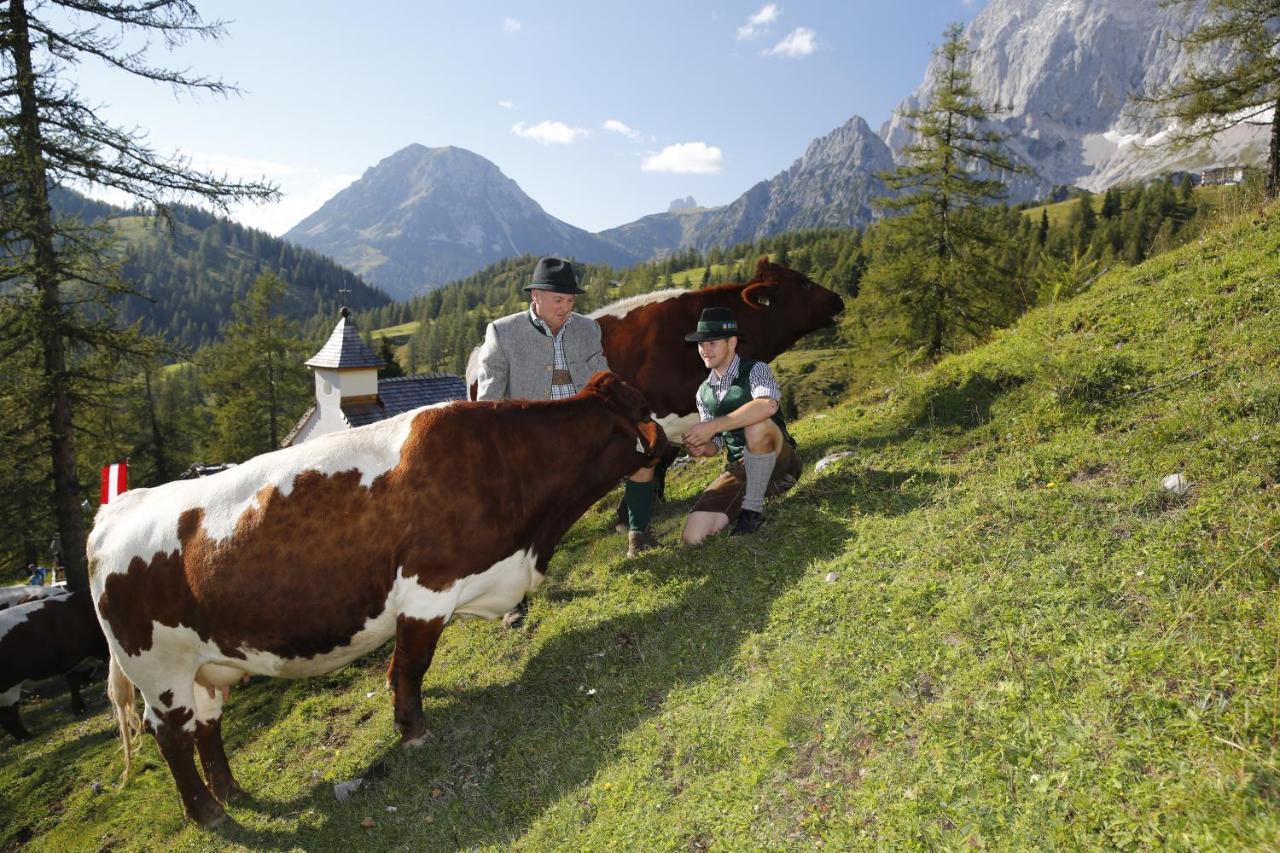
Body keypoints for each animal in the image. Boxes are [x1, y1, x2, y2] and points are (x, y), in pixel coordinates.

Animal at [0, 589, 108, 742]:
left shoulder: (74, 662)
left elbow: (74, 684)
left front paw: (79, 709)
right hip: (8, 688)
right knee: (9, 717)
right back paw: (26, 737)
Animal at [87, 373, 670, 824]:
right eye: (644, 409)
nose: (670, 440)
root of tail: (117, 511)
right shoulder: (426, 588)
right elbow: (408, 668)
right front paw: (414, 731)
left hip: (205, 666)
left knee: (207, 726)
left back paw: (230, 791)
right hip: (159, 671)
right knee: (172, 736)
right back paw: (206, 811)